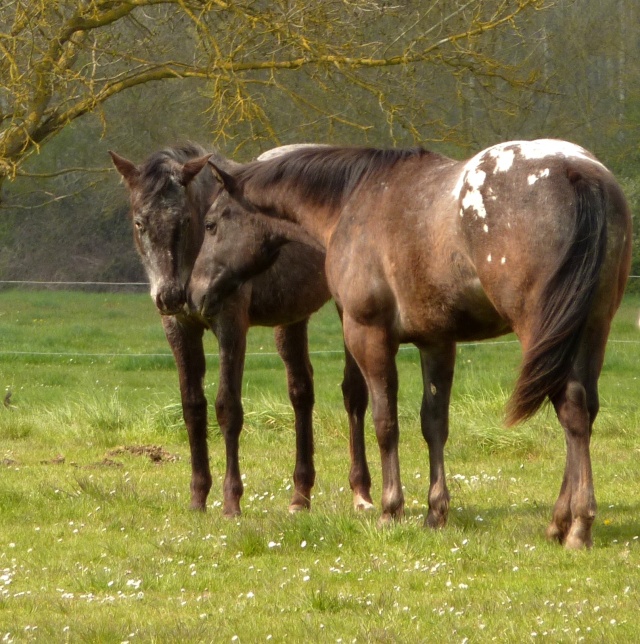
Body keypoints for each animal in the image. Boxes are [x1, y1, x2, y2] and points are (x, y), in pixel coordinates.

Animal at [107, 143, 372, 516]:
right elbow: (193, 408)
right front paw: (198, 497)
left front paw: (231, 500)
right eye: (139, 222)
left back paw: (361, 492)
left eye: (185, 220)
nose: (171, 296)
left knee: (353, 392)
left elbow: (227, 408)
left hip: (345, 309)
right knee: (301, 392)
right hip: (291, 318)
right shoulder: (180, 330)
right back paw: (299, 496)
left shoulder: (231, 328)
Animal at [194, 141, 632, 548]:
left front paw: (391, 509)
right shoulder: (435, 342)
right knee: (583, 411)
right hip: (590, 329)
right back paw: (561, 522)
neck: (352, 201)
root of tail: (576, 171)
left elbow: (385, 422)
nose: (195, 294)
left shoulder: (368, 335)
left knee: (570, 410)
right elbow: (433, 424)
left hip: (542, 331)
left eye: (211, 224)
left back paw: (577, 526)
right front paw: (436, 511)